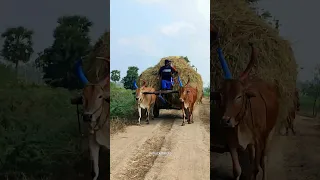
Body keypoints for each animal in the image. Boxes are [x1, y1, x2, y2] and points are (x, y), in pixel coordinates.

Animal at [216, 43, 278, 180]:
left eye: (239, 96)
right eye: (221, 95)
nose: (225, 121)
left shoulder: (259, 141)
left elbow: (255, 168)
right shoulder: (231, 142)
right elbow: (237, 170)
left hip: (270, 133)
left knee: (263, 161)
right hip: (251, 144)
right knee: (252, 158)